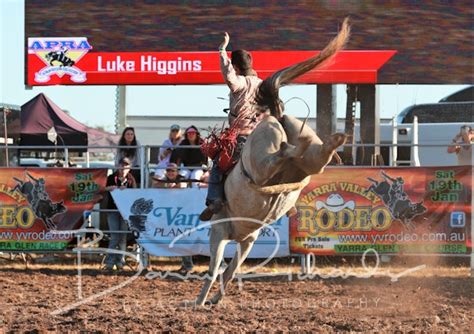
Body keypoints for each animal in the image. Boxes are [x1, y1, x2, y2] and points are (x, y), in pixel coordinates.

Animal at [193, 17, 352, 306]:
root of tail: (276, 116)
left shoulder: (219, 233)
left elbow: (214, 269)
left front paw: (200, 301)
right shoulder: (248, 240)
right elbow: (230, 271)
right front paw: (215, 299)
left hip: (262, 165)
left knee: (274, 160)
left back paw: (294, 148)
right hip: (303, 154)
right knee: (312, 158)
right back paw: (328, 143)